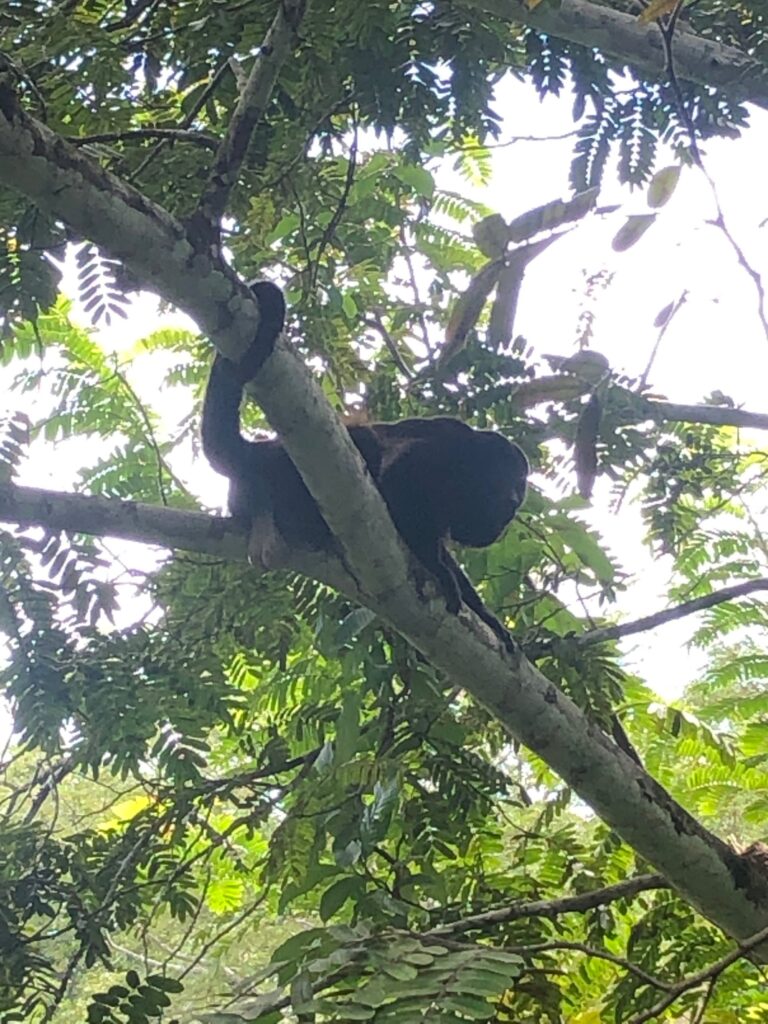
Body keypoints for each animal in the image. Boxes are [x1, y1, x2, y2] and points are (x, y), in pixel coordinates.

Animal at [201, 281, 529, 649]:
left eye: (520, 488)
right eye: (507, 480)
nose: (514, 501)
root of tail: (263, 453)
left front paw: (487, 616)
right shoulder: (443, 454)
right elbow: (399, 479)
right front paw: (437, 570)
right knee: (365, 443)